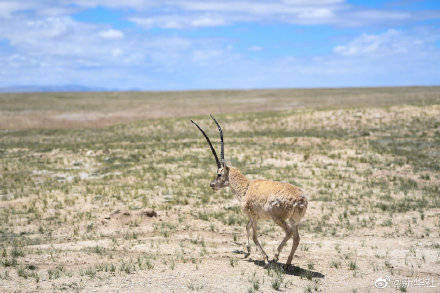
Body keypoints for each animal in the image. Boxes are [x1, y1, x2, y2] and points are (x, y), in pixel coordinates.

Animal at [191, 114, 308, 266]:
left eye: (219, 174)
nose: (212, 184)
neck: (246, 187)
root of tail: (300, 199)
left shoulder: (253, 216)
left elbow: (254, 236)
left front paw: (265, 258)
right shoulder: (254, 218)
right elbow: (246, 227)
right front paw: (247, 252)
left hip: (278, 218)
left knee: (288, 232)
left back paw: (275, 256)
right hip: (294, 221)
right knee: (296, 238)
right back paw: (288, 263)